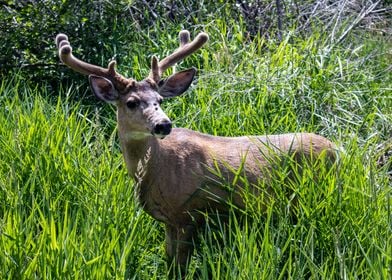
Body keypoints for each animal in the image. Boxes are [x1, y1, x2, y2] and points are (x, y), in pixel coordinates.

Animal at [55, 30, 336, 276]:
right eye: (131, 102)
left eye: (160, 100)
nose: (164, 124)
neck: (157, 170)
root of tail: (337, 150)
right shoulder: (169, 221)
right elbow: (169, 262)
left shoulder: (189, 213)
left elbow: (179, 268)